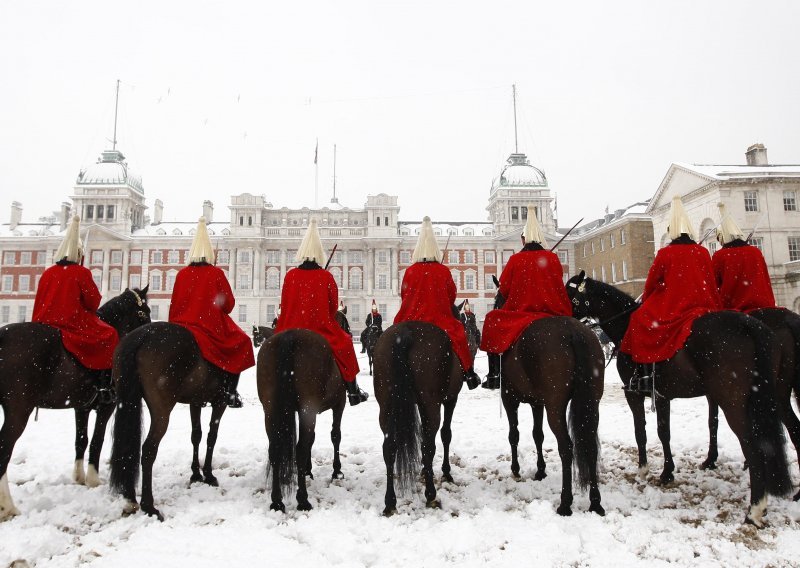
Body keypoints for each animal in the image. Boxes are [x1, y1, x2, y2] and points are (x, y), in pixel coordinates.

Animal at [0, 288, 152, 520]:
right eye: (145, 312)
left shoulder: (81, 405)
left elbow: (81, 439)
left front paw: (79, 476)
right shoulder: (107, 404)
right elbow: (97, 440)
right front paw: (93, 478)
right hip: (18, 410)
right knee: (4, 449)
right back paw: (8, 507)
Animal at [108, 320, 248, 520]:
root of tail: (142, 336)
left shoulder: (195, 401)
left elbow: (196, 435)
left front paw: (196, 474)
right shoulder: (219, 402)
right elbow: (211, 436)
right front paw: (208, 475)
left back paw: (130, 497)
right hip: (162, 410)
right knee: (149, 449)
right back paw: (149, 506)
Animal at [370, 324, 460, 516]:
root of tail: (407, 331)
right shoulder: (451, 399)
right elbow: (446, 434)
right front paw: (445, 472)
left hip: (386, 406)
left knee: (389, 448)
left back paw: (390, 502)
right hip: (431, 404)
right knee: (428, 446)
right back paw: (431, 495)